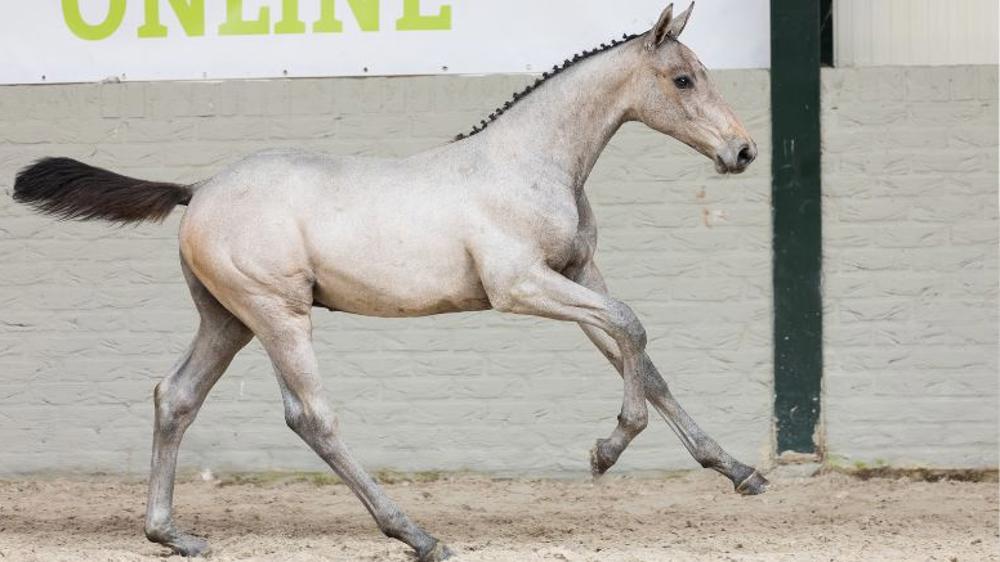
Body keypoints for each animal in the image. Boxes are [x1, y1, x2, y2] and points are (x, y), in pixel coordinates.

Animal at [11, 3, 764, 556]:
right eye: (683, 79)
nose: (743, 151)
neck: (527, 161)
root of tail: (196, 192)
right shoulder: (520, 286)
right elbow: (633, 324)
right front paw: (607, 451)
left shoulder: (577, 272)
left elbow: (640, 354)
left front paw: (738, 472)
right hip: (278, 314)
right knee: (311, 417)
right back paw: (416, 534)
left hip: (229, 319)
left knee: (177, 396)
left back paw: (172, 535)